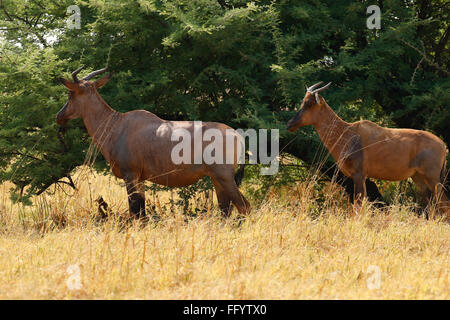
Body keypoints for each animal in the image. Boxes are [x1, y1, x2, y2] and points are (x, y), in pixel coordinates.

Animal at [56, 66, 250, 219]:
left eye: (70, 93)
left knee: (244, 206)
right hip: (216, 178)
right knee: (226, 208)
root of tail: (237, 135)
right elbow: (141, 213)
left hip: (224, 177)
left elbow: (135, 211)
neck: (117, 124)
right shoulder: (140, 179)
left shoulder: (130, 175)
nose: (59, 117)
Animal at [286, 82, 448, 218]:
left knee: (443, 203)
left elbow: (359, 205)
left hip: (432, 178)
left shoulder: (359, 175)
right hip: (418, 178)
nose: (290, 125)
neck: (347, 132)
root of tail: (443, 146)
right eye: (303, 101)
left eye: (309, 103)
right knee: (433, 204)